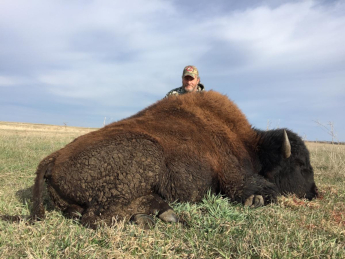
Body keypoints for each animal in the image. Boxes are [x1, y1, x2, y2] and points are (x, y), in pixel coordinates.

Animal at [30, 90, 318, 229]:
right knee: (97, 218)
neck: (249, 143)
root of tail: (53, 158)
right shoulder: (233, 178)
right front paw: (256, 200)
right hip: (146, 157)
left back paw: (159, 213)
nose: (316, 192)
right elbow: (264, 190)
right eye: (301, 164)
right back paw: (157, 217)